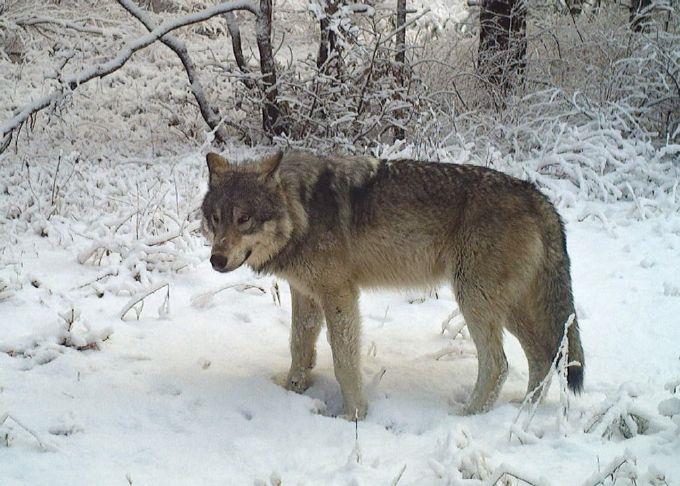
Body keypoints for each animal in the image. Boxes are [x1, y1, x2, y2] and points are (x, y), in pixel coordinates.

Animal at [200, 150, 585, 419]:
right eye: (216, 219)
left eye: (244, 219)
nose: (216, 260)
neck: (303, 212)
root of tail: (539, 198)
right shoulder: (305, 294)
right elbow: (299, 347)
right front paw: (293, 390)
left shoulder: (339, 294)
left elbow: (343, 362)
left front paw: (353, 414)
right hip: (510, 310)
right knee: (544, 359)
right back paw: (523, 410)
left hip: (475, 301)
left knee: (499, 365)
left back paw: (468, 415)